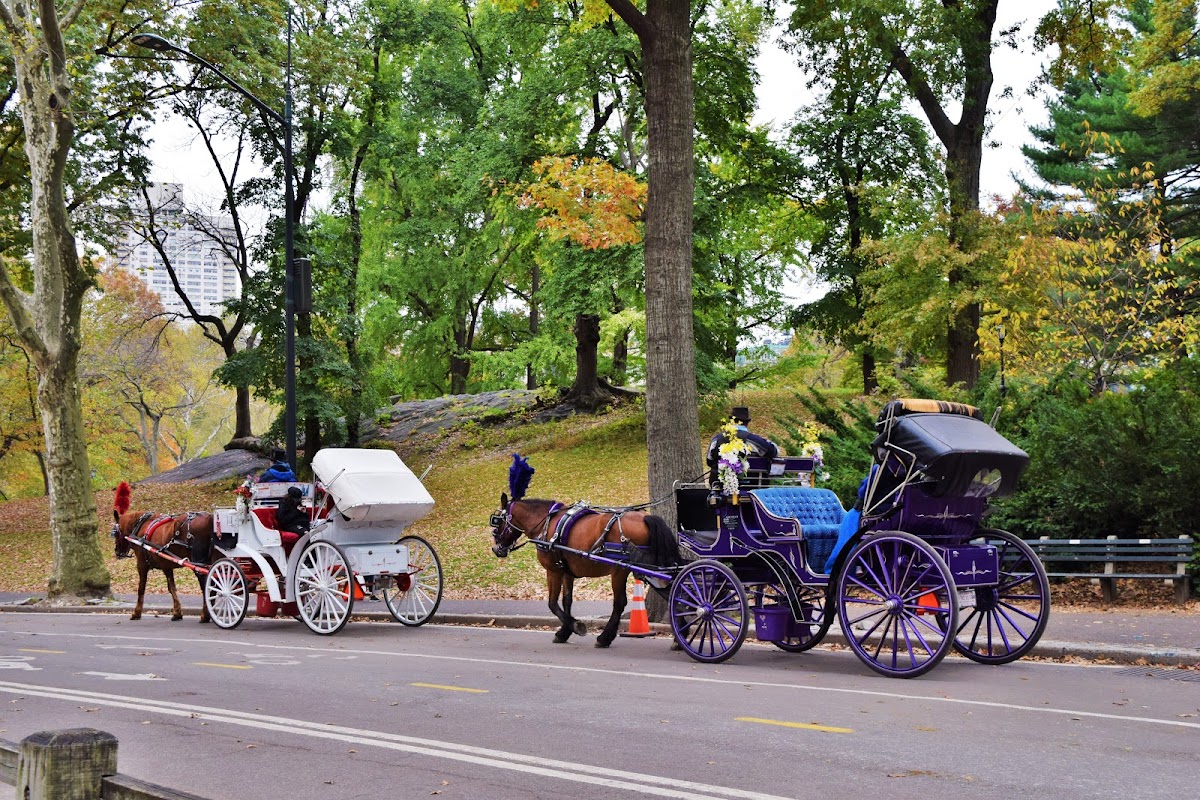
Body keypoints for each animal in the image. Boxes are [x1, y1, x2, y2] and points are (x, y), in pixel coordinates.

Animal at [111, 482, 214, 623]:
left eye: (115, 533)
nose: (117, 552)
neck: (140, 526)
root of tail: (209, 518)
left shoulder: (143, 564)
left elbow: (142, 588)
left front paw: (137, 612)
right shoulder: (167, 565)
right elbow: (172, 588)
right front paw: (177, 612)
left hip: (198, 563)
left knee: (206, 585)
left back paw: (205, 615)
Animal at [487, 491, 676, 647]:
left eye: (497, 521)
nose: (496, 549)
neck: (546, 524)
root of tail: (644, 517)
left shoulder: (553, 571)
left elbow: (552, 603)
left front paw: (575, 626)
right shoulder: (566, 572)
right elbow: (567, 601)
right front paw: (564, 632)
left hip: (619, 570)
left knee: (620, 602)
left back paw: (604, 638)